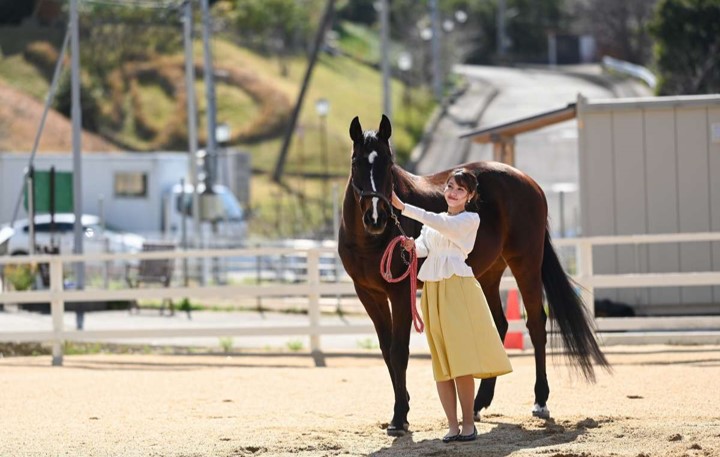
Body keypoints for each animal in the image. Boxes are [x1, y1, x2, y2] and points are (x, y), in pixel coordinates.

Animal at [340, 114, 612, 434]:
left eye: (388, 161)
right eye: (356, 161)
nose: (376, 217)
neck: (368, 241)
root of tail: (529, 182)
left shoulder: (399, 292)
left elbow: (398, 351)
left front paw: (399, 417)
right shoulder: (368, 294)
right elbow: (386, 351)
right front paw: (402, 406)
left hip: (526, 263)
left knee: (536, 324)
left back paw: (540, 401)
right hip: (490, 272)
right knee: (501, 324)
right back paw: (481, 402)